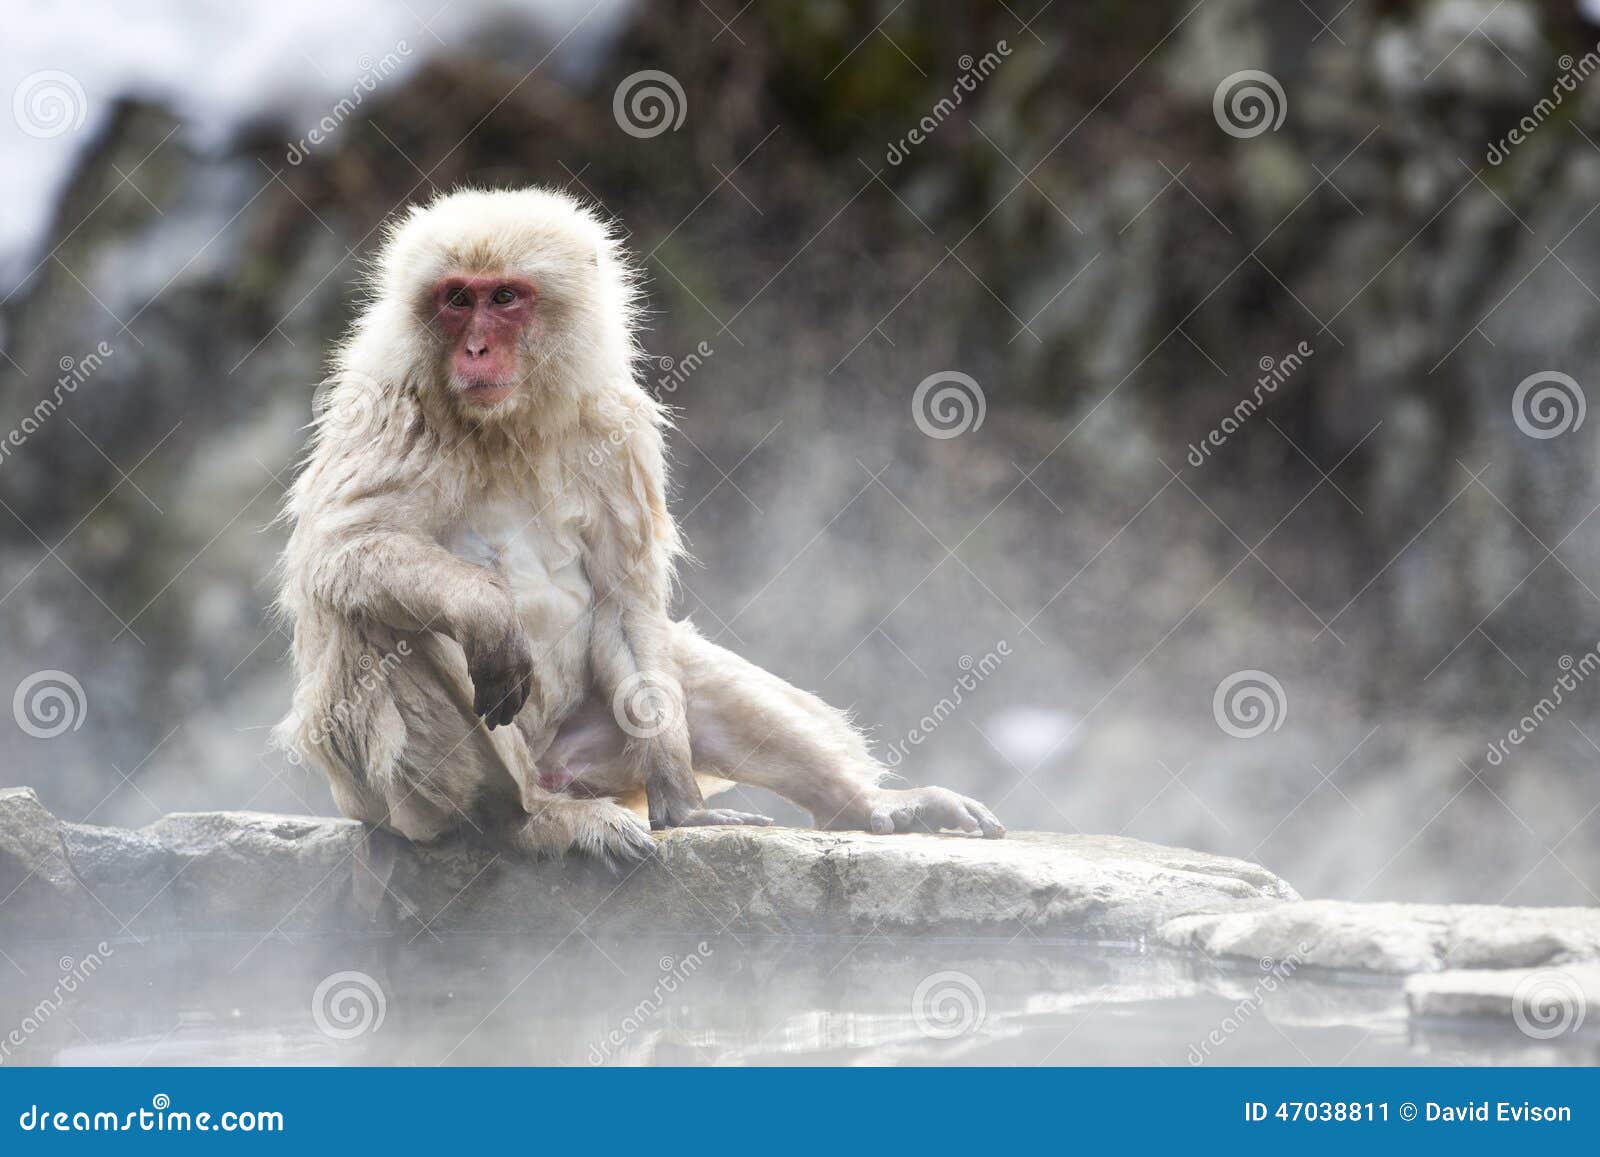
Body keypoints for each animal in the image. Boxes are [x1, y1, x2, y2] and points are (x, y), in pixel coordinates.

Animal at [273, 188, 998, 857]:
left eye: (504, 297)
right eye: (457, 299)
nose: (475, 347)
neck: (509, 426)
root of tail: (556, 773)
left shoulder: (619, 429)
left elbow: (625, 603)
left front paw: (684, 799)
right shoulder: (392, 408)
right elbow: (340, 550)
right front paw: (486, 609)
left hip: (600, 755)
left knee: (678, 663)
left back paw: (864, 803)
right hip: (391, 796)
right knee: (381, 619)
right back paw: (530, 821)